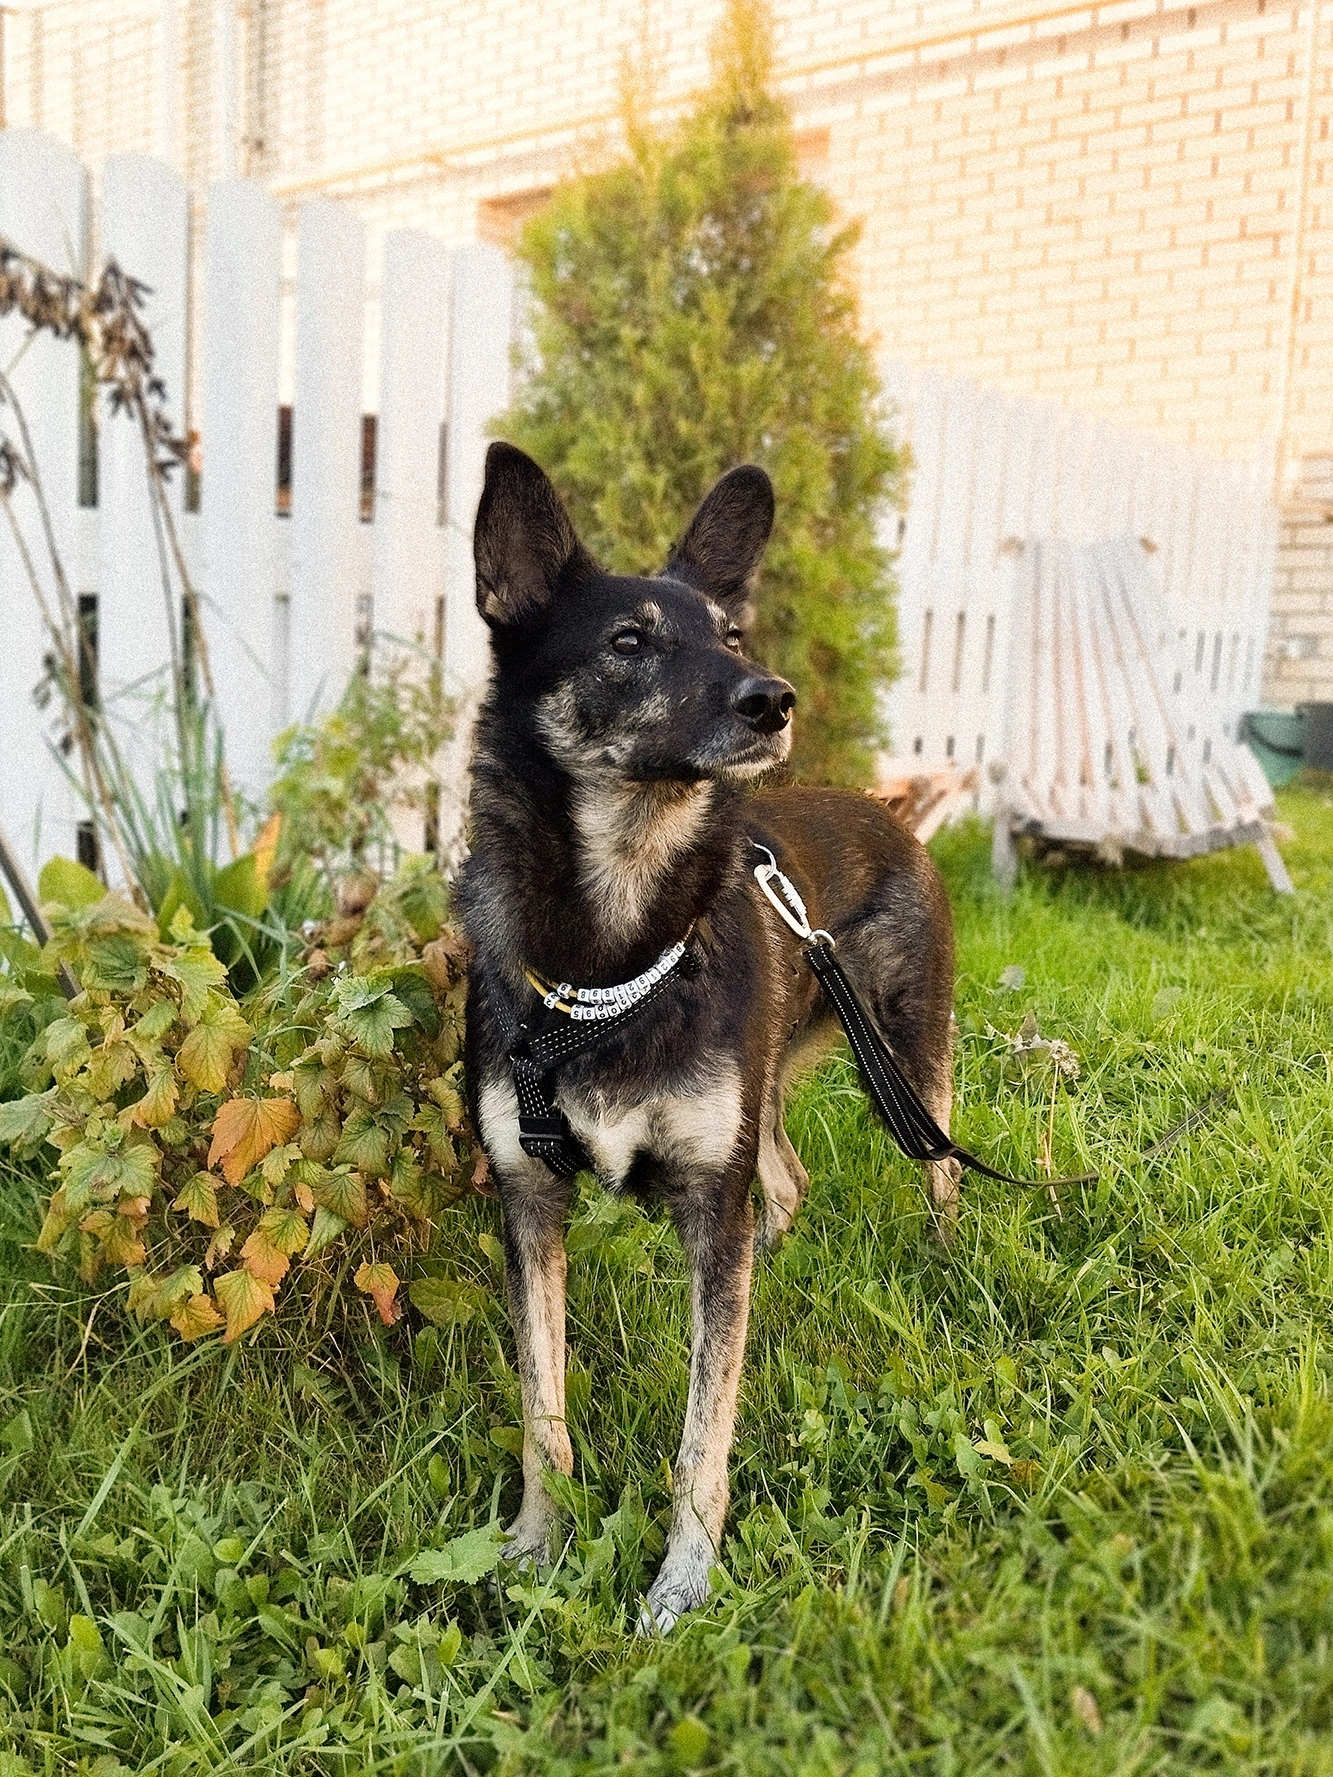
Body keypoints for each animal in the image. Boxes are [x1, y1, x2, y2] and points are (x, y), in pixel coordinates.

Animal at [458, 444, 959, 1634]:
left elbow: (703, 1428)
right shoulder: (528, 1200)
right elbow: (542, 1404)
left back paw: (947, 1259)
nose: (773, 698)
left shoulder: (701, 1201)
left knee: (937, 1164)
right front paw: (533, 1548)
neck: (612, 949)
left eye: (731, 634)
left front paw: (681, 1587)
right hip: (758, 1099)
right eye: (627, 641)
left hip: (910, 1054)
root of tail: (886, 811)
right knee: (784, 1183)